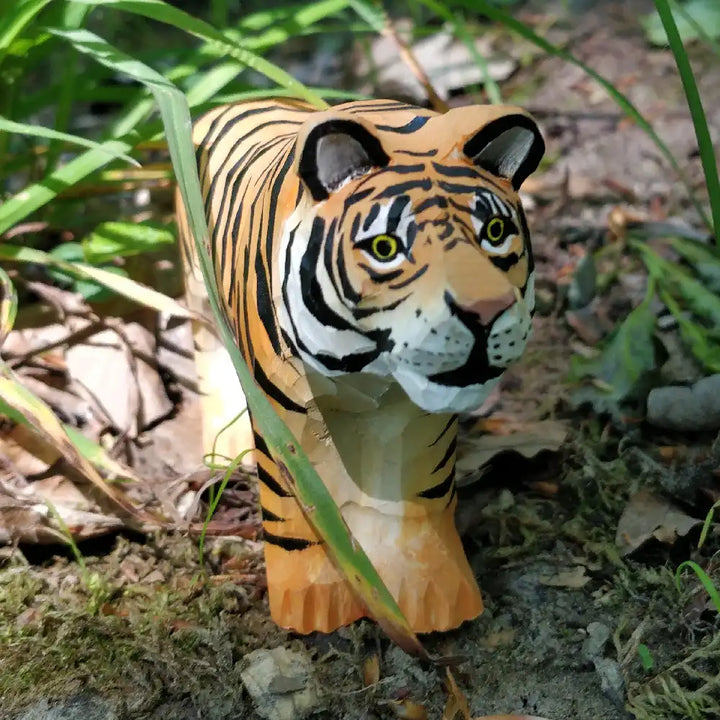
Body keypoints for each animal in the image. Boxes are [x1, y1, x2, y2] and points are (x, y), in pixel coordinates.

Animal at [176, 97, 544, 634]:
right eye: (386, 248)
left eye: (495, 234)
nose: (485, 312)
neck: (369, 367)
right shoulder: (289, 410)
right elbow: (298, 511)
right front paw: (312, 603)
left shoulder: (417, 419)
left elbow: (415, 503)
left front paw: (430, 597)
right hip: (198, 294)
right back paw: (225, 455)